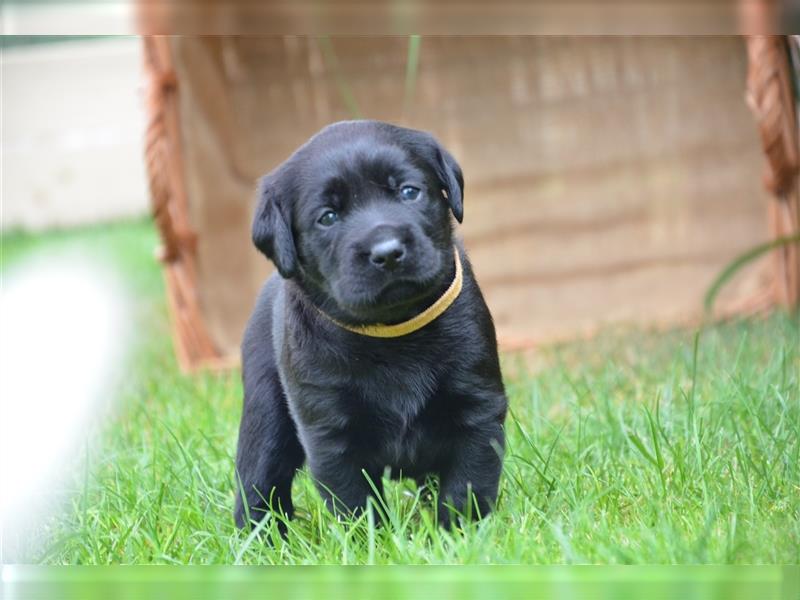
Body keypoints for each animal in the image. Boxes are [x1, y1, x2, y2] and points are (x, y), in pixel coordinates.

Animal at [234, 120, 506, 528]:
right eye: (328, 217)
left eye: (409, 192)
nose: (387, 252)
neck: (392, 332)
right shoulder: (330, 434)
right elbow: (356, 503)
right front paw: (374, 540)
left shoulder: (479, 406)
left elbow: (466, 486)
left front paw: (460, 534)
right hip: (264, 407)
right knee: (257, 479)